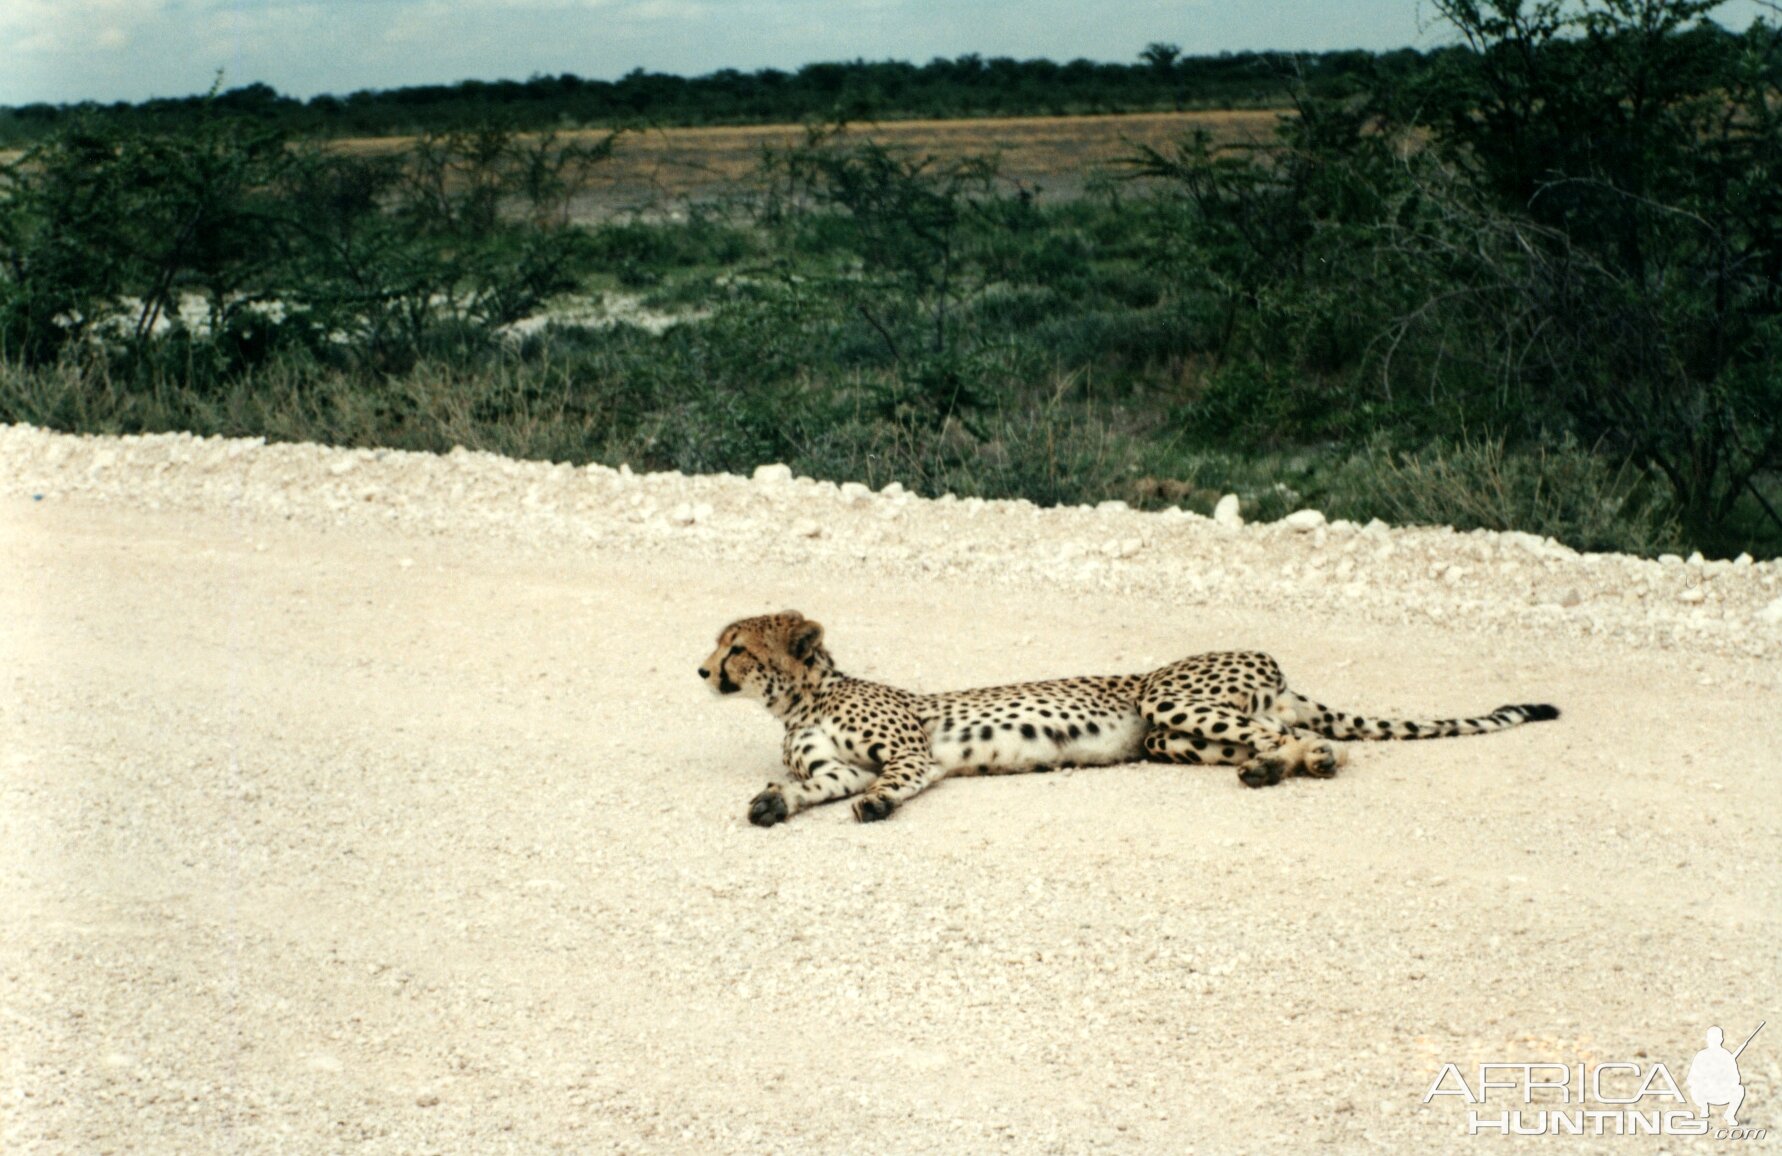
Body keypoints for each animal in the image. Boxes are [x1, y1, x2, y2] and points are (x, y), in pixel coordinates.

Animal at [694, 609, 1561, 826]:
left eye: (735, 646)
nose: (701, 670)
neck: (802, 699)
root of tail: (1272, 661)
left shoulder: (914, 754)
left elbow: (894, 781)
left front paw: (876, 805)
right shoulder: (834, 765)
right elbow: (811, 787)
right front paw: (772, 802)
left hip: (1168, 699)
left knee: (1308, 737)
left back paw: (1300, 761)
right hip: (1175, 737)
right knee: (1283, 740)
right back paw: (1267, 770)